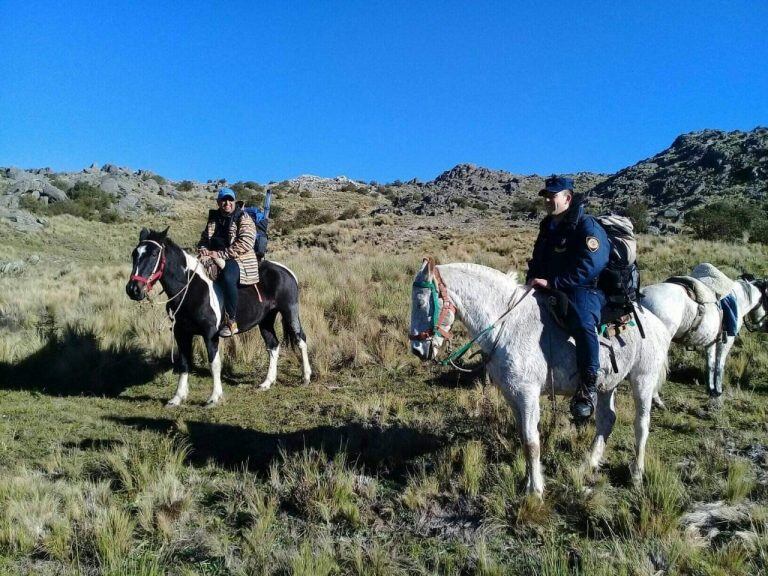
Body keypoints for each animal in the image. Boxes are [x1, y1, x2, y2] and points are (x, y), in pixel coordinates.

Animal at [124, 226, 310, 404]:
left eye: (154, 254)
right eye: (134, 254)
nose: (133, 289)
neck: (191, 289)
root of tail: (285, 270)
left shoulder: (210, 334)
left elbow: (214, 363)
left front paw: (214, 397)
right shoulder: (181, 333)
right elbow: (184, 363)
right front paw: (177, 397)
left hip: (289, 311)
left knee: (300, 339)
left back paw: (306, 377)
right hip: (265, 320)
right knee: (273, 346)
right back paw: (267, 382)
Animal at [408, 258, 672, 498]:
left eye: (421, 303)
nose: (417, 350)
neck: (508, 325)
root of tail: (657, 323)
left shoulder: (527, 394)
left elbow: (531, 442)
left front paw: (535, 491)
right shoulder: (512, 395)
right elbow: (524, 438)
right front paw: (528, 481)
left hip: (643, 380)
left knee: (641, 424)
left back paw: (636, 474)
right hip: (607, 384)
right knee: (607, 419)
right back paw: (588, 464)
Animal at [640, 272, 768, 398]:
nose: (763, 325)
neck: (739, 299)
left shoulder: (710, 342)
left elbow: (710, 364)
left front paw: (711, 389)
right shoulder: (726, 341)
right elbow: (720, 365)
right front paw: (718, 391)